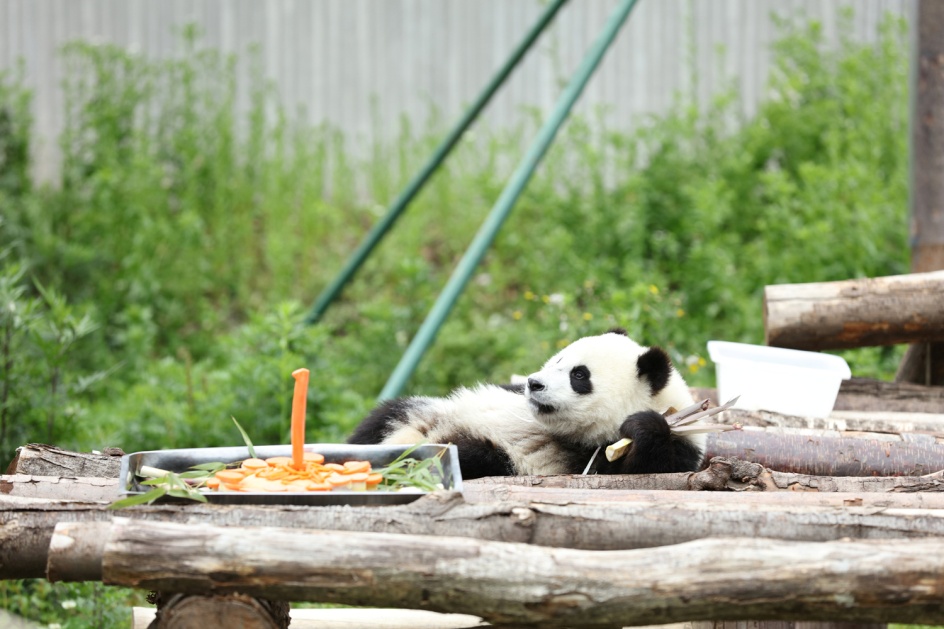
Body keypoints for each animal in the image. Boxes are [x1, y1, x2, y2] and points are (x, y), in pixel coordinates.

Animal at [346, 326, 700, 478]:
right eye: (557, 360)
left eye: (579, 375)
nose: (534, 383)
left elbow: (642, 464)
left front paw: (643, 427)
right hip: (421, 410)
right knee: (382, 416)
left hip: (494, 455)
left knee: (465, 454)